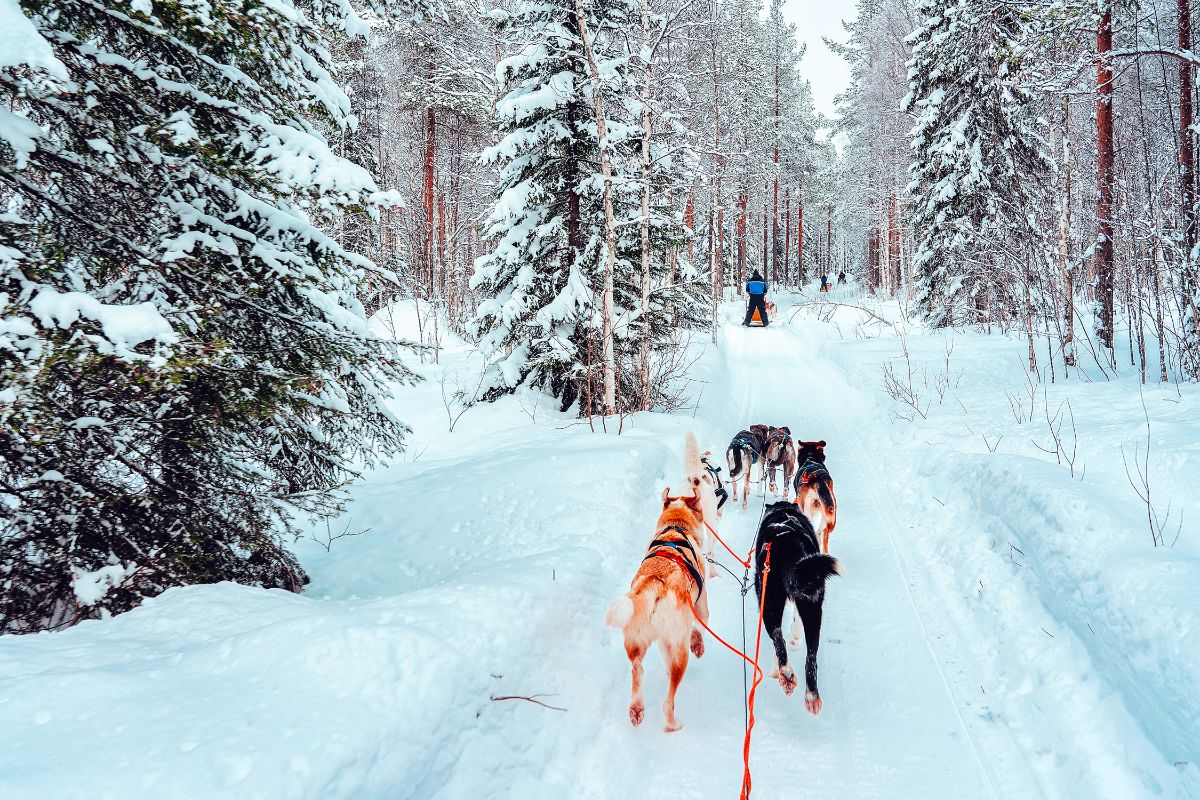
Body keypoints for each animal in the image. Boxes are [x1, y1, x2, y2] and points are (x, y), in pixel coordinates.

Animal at [604, 489, 705, 734]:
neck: (676, 528)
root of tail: (654, 582)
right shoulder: (700, 605)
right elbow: (700, 625)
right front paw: (698, 643)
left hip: (636, 640)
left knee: (637, 668)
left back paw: (636, 708)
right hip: (679, 650)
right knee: (669, 700)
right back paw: (672, 725)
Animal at [748, 503, 844, 714]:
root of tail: (787, 542)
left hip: (768, 604)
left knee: (778, 639)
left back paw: (784, 672)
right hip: (812, 608)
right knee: (811, 657)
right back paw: (811, 696)